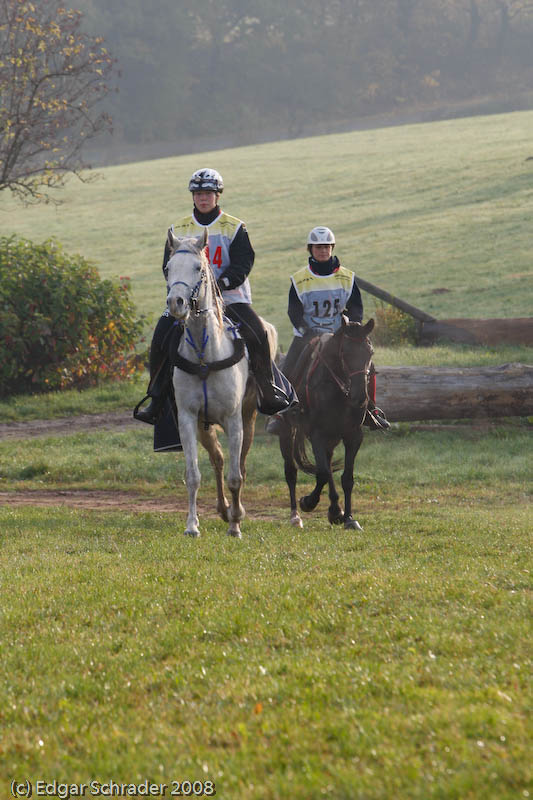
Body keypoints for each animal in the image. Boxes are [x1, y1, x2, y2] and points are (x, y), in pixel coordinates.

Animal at [278, 318, 374, 532]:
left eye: (370, 352)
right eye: (345, 353)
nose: (360, 398)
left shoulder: (353, 436)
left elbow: (346, 478)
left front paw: (348, 518)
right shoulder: (317, 435)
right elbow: (322, 474)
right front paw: (308, 502)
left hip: (331, 439)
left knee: (327, 465)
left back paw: (335, 511)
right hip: (287, 431)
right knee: (291, 472)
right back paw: (295, 516)